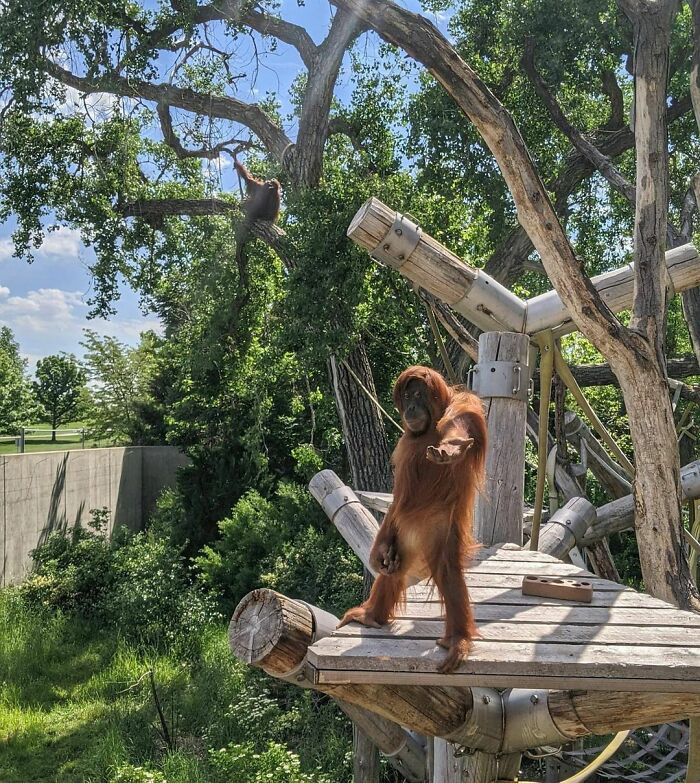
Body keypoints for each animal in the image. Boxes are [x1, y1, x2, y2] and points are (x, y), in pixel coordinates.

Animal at [338, 366, 487, 673]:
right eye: (406, 397)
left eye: (418, 394)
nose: (410, 408)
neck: (427, 430)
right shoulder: (404, 444)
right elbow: (396, 499)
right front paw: (377, 553)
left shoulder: (464, 408)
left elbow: (459, 429)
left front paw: (452, 447)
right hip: (402, 536)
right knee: (391, 567)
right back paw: (371, 615)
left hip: (440, 529)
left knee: (447, 570)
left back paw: (457, 640)